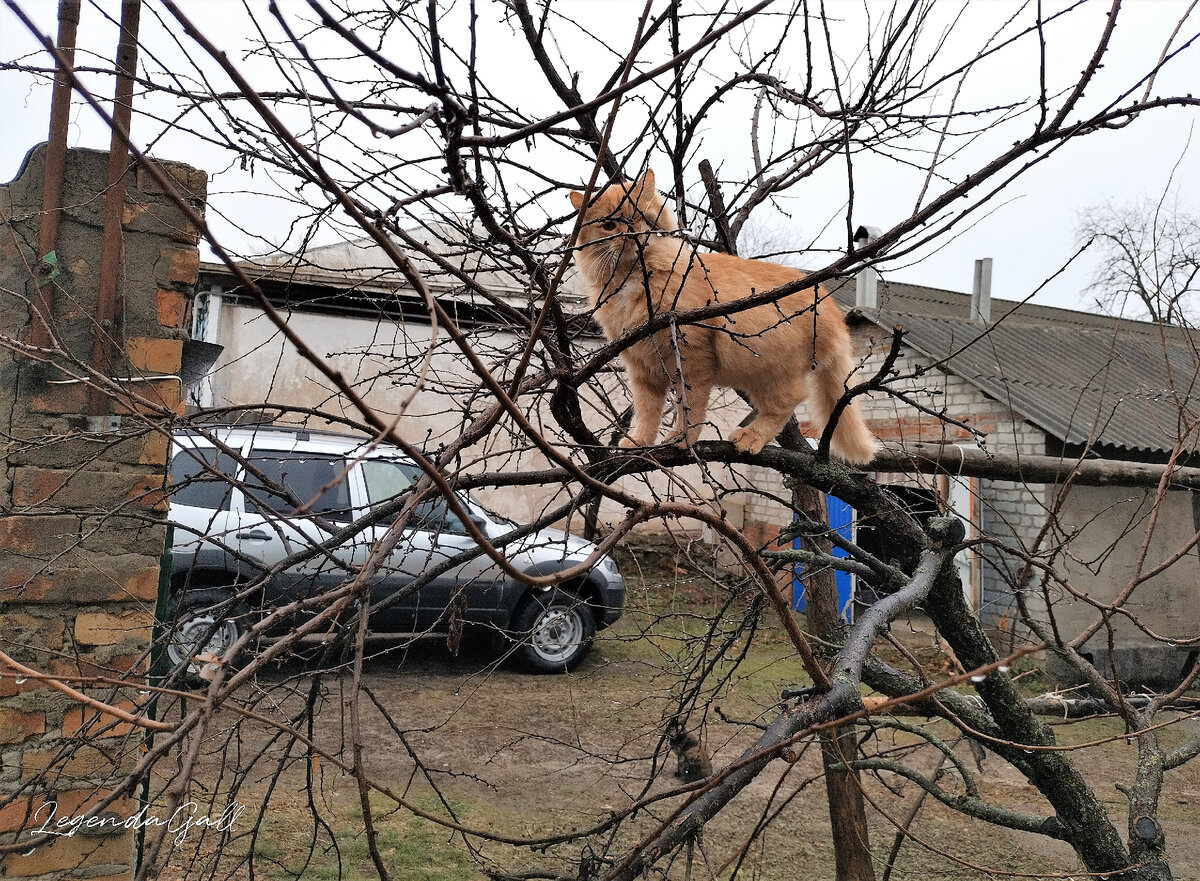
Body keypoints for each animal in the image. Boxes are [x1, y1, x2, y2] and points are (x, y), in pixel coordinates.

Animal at [566, 168, 878, 465]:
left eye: (641, 217)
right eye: (609, 225)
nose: (633, 236)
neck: (631, 281)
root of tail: (832, 311)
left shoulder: (691, 360)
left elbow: (689, 408)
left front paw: (681, 438)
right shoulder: (643, 370)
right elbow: (647, 412)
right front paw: (639, 442)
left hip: (771, 372)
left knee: (789, 401)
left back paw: (751, 437)